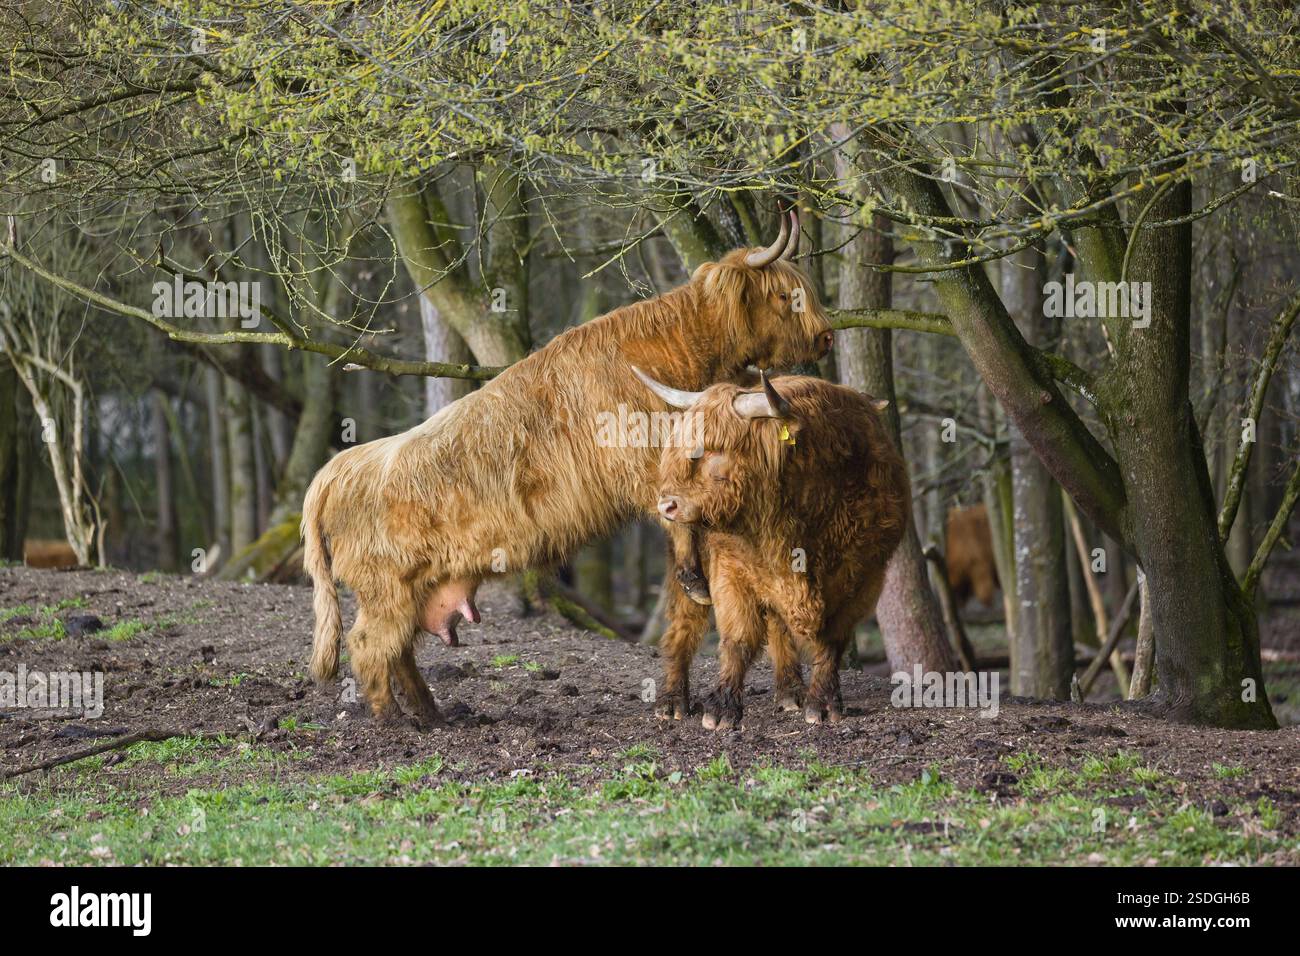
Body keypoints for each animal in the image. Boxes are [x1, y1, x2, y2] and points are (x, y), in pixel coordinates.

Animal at [302, 210, 835, 725]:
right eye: (787, 296)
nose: (827, 337)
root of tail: (336, 469)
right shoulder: (645, 466)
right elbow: (677, 522)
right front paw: (693, 579)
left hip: (414, 590)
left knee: (401, 653)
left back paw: (433, 716)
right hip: (386, 589)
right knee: (369, 645)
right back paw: (394, 721)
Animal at [639, 369, 910, 727]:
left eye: (714, 448)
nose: (665, 505)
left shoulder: (864, 576)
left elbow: (833, 639)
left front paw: (823, 703)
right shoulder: (731, 570)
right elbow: (738, 638)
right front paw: (721, 709)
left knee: (778, 627)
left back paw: (790, 692)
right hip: (689, 570)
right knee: (684, 625)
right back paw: (672, 701)